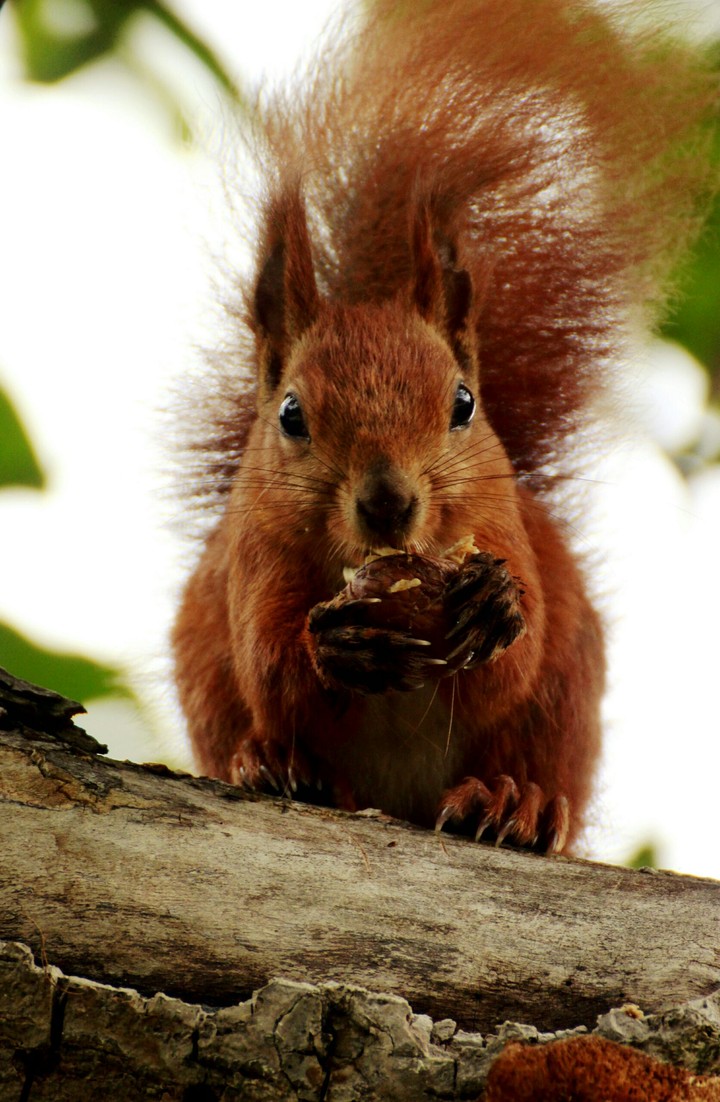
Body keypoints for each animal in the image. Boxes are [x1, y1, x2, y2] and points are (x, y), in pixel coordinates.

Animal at [172, 0, 715, 854]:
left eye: (463, 404)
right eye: (290, 414)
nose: (388, 503)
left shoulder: (501, 528)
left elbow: (508, 667)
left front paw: (494, 606)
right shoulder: (255, 556)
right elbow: (271, 665)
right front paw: (333, 645)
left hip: (564, 703)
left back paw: (517, 802)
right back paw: (271, 764)